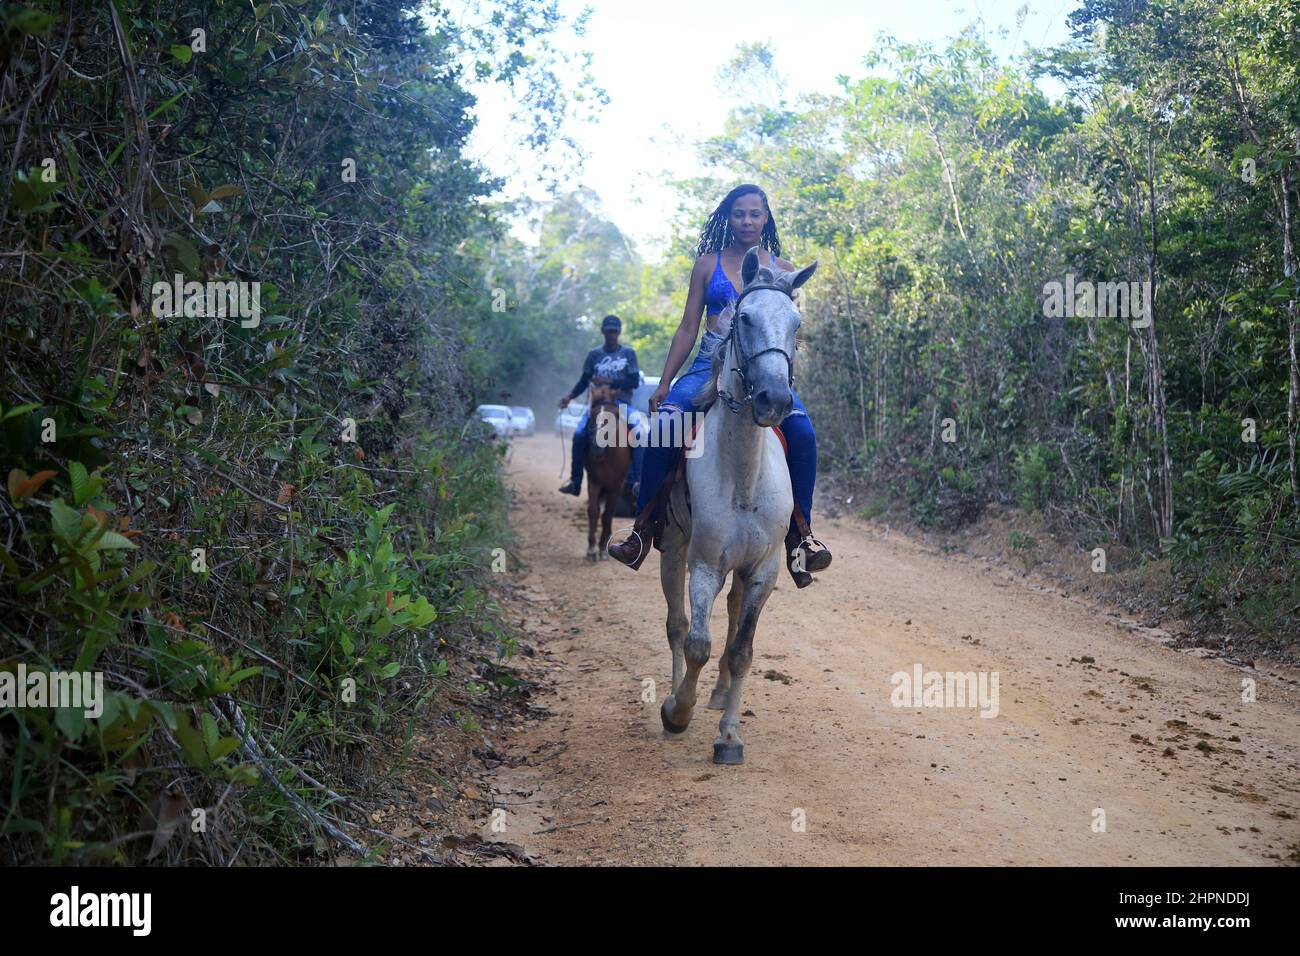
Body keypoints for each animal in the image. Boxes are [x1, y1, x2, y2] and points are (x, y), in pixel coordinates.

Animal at [660, 251, 811, 764]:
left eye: (797, 323)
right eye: (744, 318)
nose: (775, 399)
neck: (744, 475)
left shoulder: (764, 569)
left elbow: (742, 649)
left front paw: (729, 737)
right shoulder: (705, 562)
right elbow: (696, 643)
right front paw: (677, 712)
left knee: (729, 620)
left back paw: (721, 694)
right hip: (673, 550)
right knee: (677, 625)